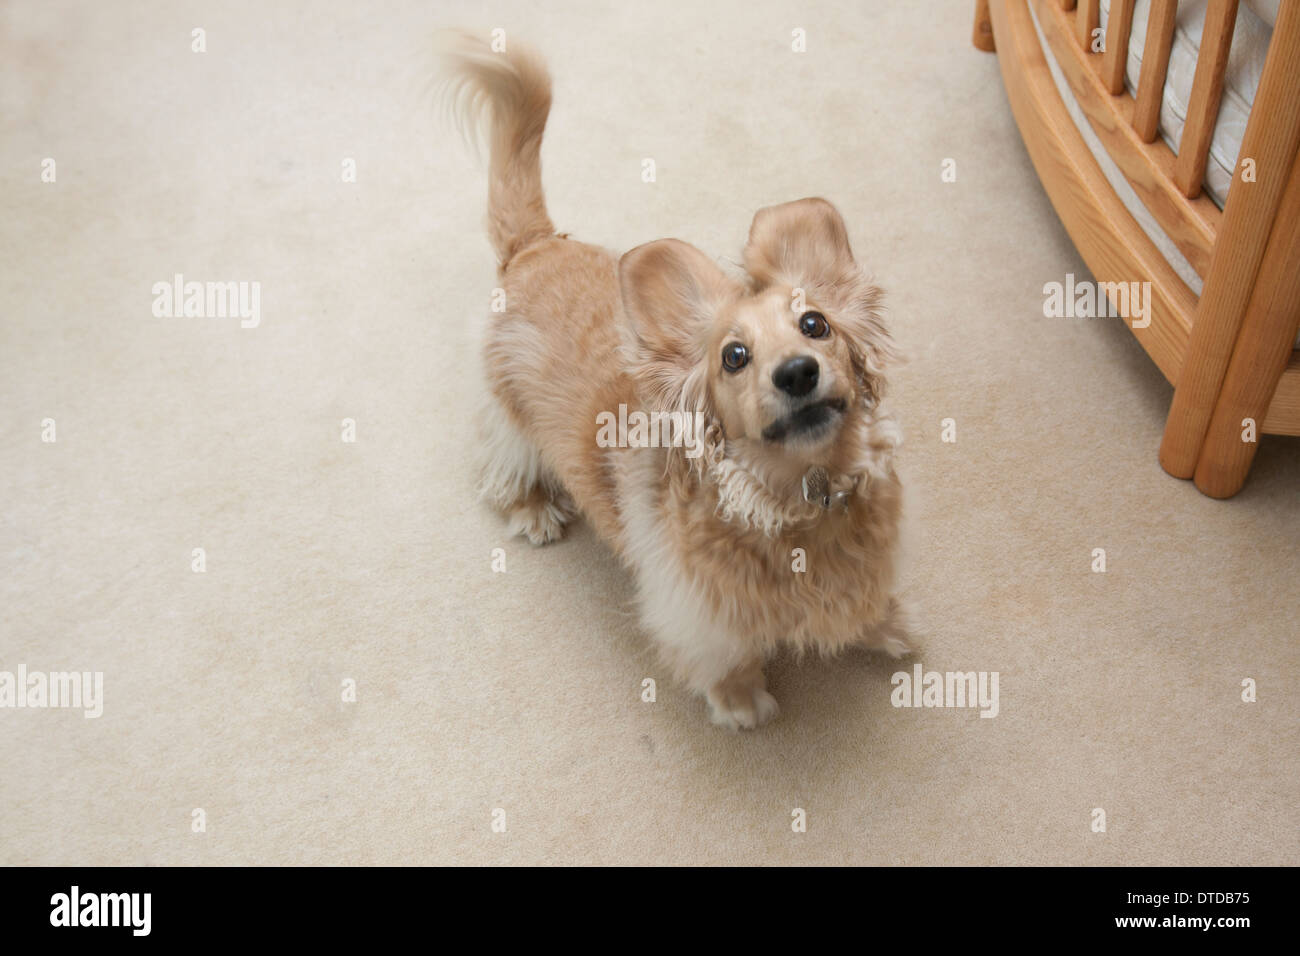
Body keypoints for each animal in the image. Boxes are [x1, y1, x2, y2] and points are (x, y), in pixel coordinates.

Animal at [441, 31, 909, 733]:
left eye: (815, 323)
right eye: (734, 356)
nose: (798, 372)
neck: (800, 504)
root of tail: (536, 245)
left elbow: (869, 604)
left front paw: (889, 625)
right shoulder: (695, 610)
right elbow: (724, 659)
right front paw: (743, 703)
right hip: (511, 422)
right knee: (501, 469)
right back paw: (534, 509)